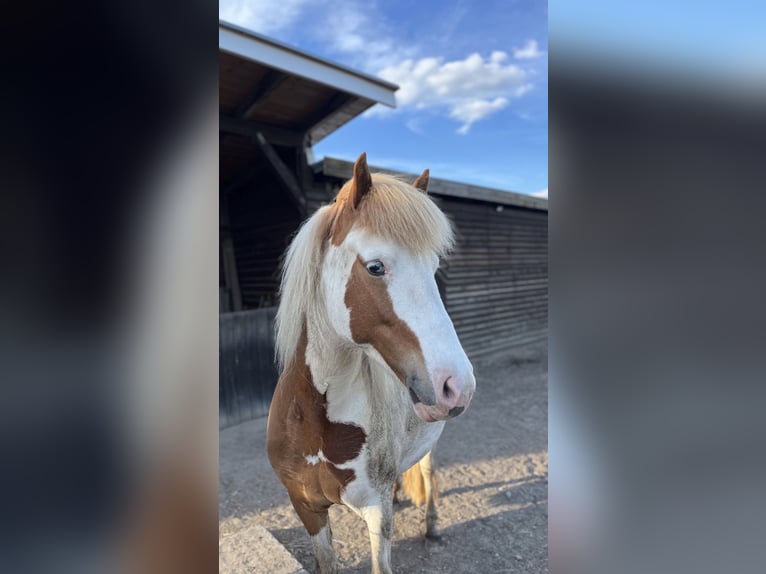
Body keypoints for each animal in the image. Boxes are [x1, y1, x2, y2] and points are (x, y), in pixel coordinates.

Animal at [266, 152, 476, 574]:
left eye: (433, 268)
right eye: (375, 267)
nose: (458, 385)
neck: (316, 422)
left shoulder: (375, 514)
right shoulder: (307, 510)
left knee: (428, 476)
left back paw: (432, 528)